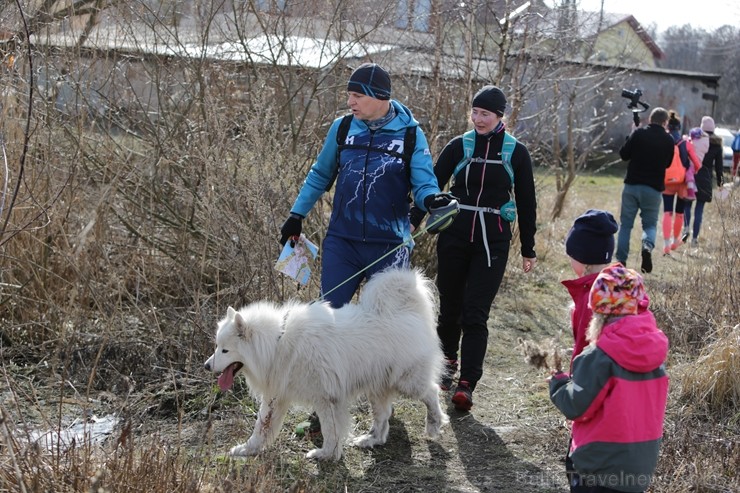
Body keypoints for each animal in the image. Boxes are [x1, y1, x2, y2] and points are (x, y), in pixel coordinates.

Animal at [202, 268, 448, 460]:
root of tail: (409, 311)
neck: (278, 342)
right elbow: (261, 428)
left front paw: (326, 454)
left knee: (432, 392)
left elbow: (330, 431)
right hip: (377, 388)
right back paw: (370, 440)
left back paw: (434, 424)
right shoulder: (278, 396)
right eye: (216, 346)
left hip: (407, 382)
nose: (206, 366)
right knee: (383, 418)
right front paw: (246, 450)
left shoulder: (326, 398)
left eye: (225, 350)